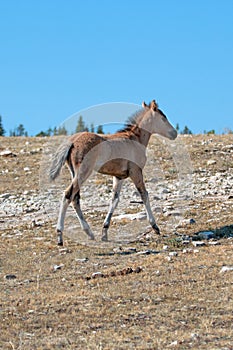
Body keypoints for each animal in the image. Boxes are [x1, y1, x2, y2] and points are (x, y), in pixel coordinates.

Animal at [49, 100, 177, 245]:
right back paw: (60, 236)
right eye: (163, 118)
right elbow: (144, 195)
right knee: (68, 195)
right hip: (83, 172)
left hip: (74, 173)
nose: (174, 133)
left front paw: (104, 232)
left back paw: (89, 232)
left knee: (75, 198)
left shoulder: (119, 176)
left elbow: (114, 200)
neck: (136, 139)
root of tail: (71, 142)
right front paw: (155, 226)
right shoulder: (136, 171)